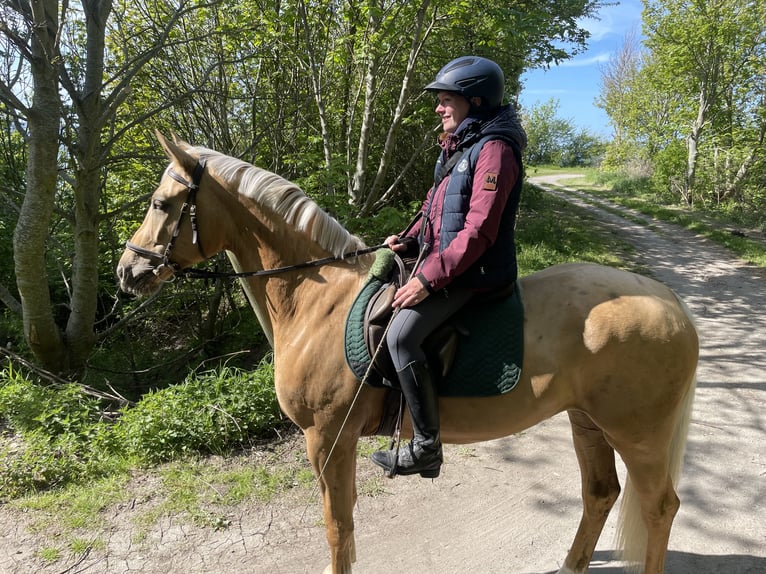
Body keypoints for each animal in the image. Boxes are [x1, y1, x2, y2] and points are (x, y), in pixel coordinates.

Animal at [116, 133, 699, 574]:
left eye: (161, 204)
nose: (127, 271)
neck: (318, 300)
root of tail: (670, 302)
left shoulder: (326, 439)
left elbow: (338, 526)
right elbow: (343, 522)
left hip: (637, 434)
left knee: (659, 506)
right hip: (587, 422)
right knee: (600, 494)